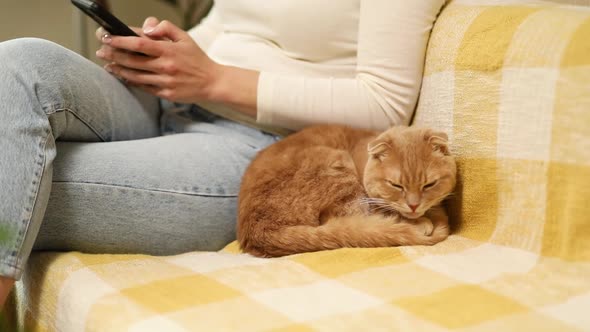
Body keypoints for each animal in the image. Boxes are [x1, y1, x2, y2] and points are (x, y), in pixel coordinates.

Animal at [236, 124, 458, 256]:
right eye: (396, 185)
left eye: (429, 185)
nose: (413, 206)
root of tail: (258, 231)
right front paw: (421, 221)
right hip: (339, 168)